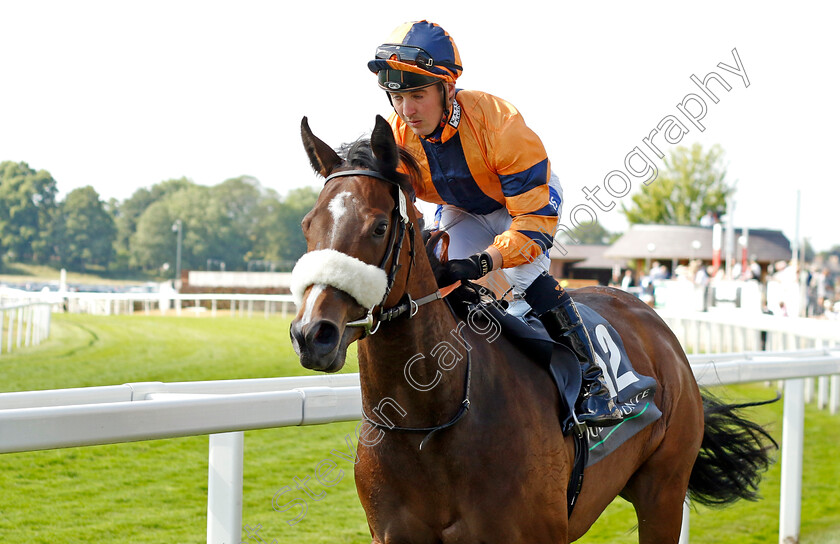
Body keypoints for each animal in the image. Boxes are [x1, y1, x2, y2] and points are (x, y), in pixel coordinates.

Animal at [290, 116, 776, 544]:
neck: (431, 421)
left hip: (664, 492)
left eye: (378, 226)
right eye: (308, 224)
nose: (313, 333)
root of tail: (653, 320)